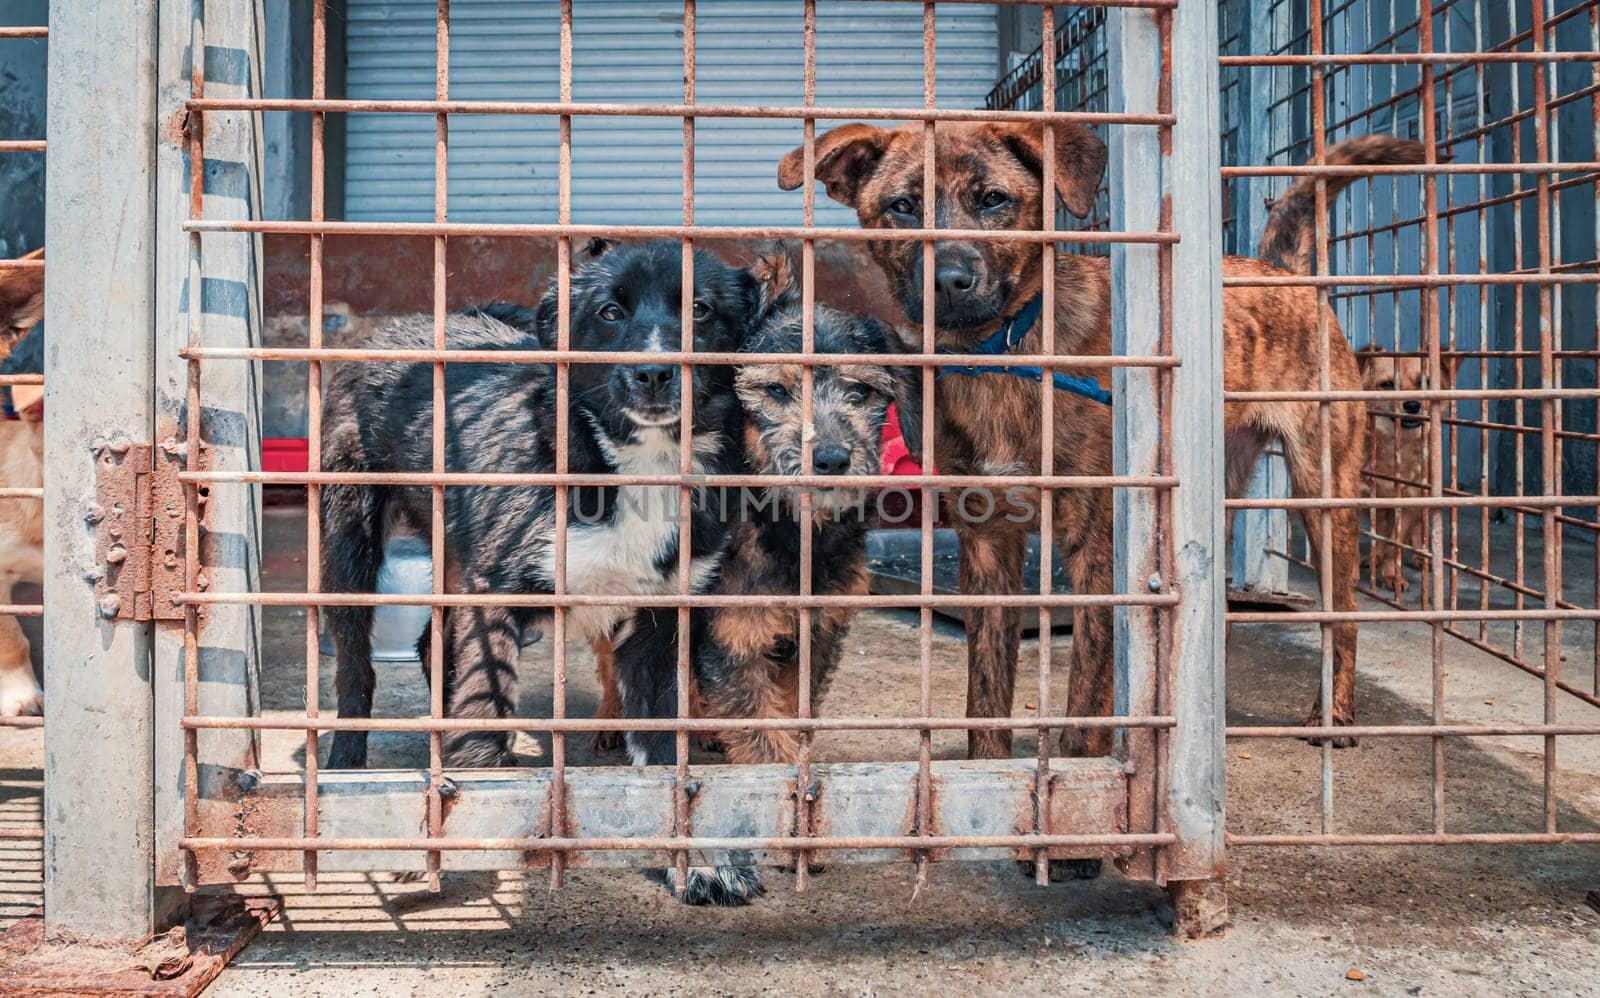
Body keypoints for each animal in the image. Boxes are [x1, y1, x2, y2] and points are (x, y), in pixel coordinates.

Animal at [321, 241, 758, 770]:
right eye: (609, 312)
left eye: (700, 308)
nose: (653, 372)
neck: (633, 462)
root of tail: (398, 324)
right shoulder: (493, 596)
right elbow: (482, 716)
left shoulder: (660, 616)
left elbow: (658, 742)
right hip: (350, 539)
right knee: (354, 663)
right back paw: (345, 758)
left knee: (428, 644)